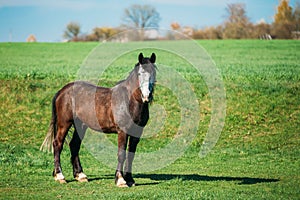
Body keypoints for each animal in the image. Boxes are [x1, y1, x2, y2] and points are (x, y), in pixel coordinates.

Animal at [40, 52, 157, 187]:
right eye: (139, 74)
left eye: (153, 73)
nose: (146, 96)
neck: (129, 100)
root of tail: (62, 91)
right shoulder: (122, 131)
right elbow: (121, 154)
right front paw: (120, 180)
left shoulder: (137, 132)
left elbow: (131, 154)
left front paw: (130, 179)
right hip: (64, 124)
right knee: (57, 144)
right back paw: (60, 176)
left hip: (81, 125)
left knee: (74, 145)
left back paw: (80, 175)